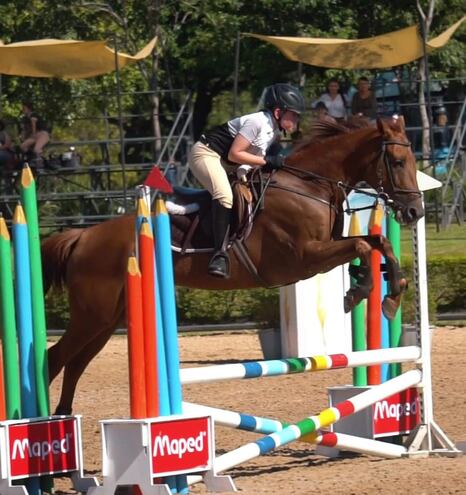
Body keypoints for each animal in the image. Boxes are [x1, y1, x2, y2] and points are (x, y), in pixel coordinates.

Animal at [41, 117, 424, 414]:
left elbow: (378, 243)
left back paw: (62, 416)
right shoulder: (302, 259)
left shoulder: (322, 249)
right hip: (93, 314)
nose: (415, 212)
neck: (309, 185)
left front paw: (391, 293)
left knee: (74, 362)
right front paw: (359, 291)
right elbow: (361, 244)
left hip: (108, 320)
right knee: (56, 357)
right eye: (397, 161)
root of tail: (83, 236)